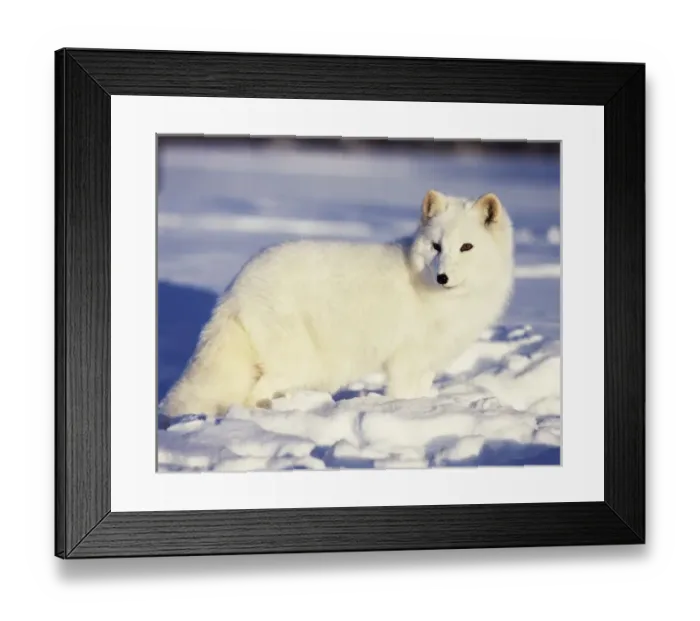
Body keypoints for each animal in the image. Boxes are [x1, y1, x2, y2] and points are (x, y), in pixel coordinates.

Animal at [160, 190, 515, 418]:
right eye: (436, 246)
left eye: (467, 247)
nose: (442, 277)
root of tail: (236, 286)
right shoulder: (406, 361)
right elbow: (403, 396)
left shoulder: (427, 364)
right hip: (299, 361)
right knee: (252, 394)